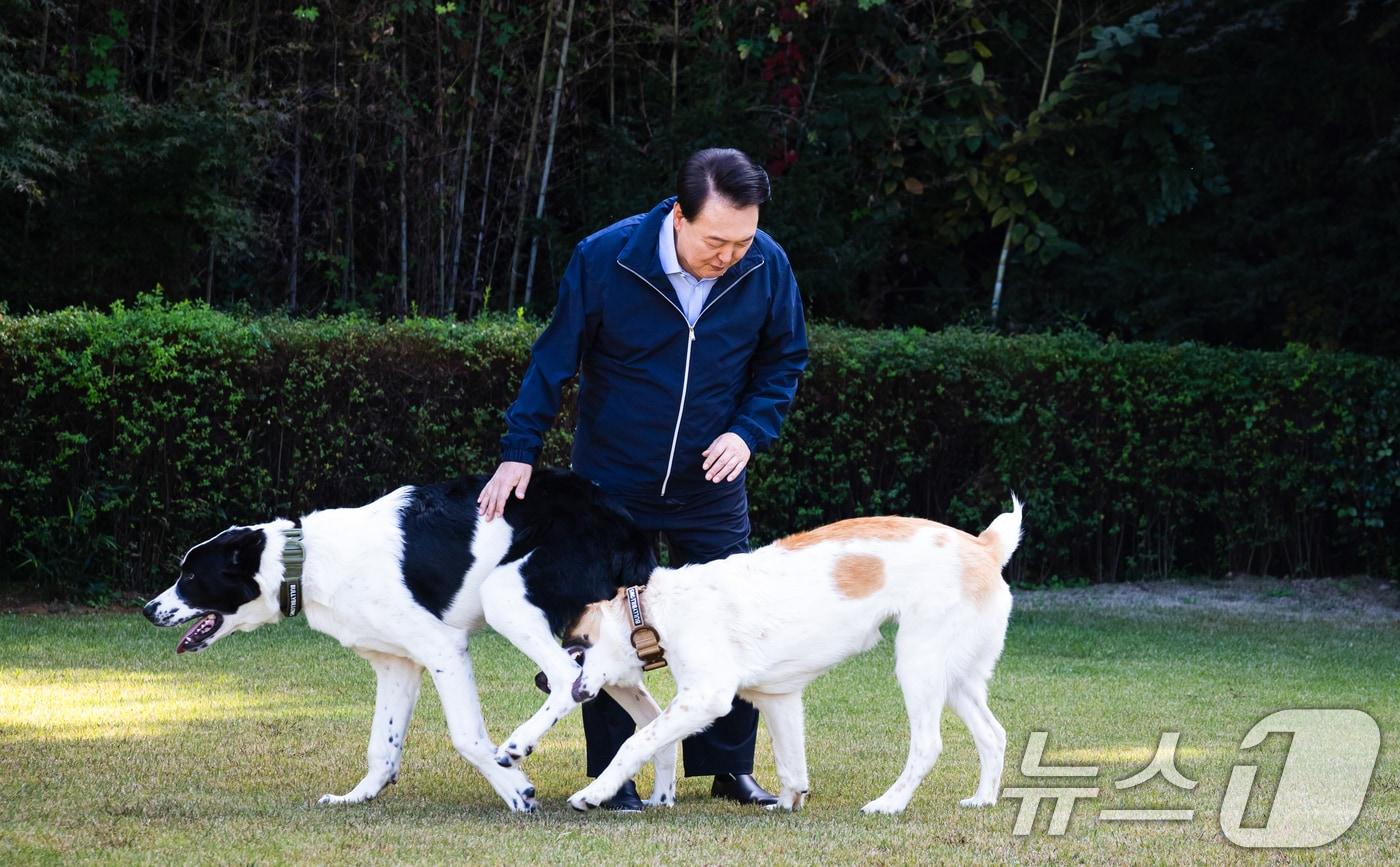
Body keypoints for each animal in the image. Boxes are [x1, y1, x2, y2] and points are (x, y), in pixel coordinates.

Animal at [144, 470, 680, 812]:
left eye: (190, 576)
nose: (149, 610)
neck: (308, 560)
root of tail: (626, 525)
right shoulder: (395, 665)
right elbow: (381, 746)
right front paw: (358, 797)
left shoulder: (444, 650)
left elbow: (467, 737)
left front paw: (515, 790)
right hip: (609, 648)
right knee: (652, 716)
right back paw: (659, 796)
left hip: (507, 598)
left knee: (569, 678)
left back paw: (519, 745)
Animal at [562, 498, 1024, 817]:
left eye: (575, 651)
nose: (557, 688)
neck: (653, 612)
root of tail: (984, 546)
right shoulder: (778, 700)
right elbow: (790, 763)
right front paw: (788, 802)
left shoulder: (705, 698)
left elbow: (635, 742)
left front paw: (593, 794)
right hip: (956, 677)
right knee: (993, 734)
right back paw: (983, 799)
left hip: (918, 664)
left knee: (928, 745)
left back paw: (888, 804)